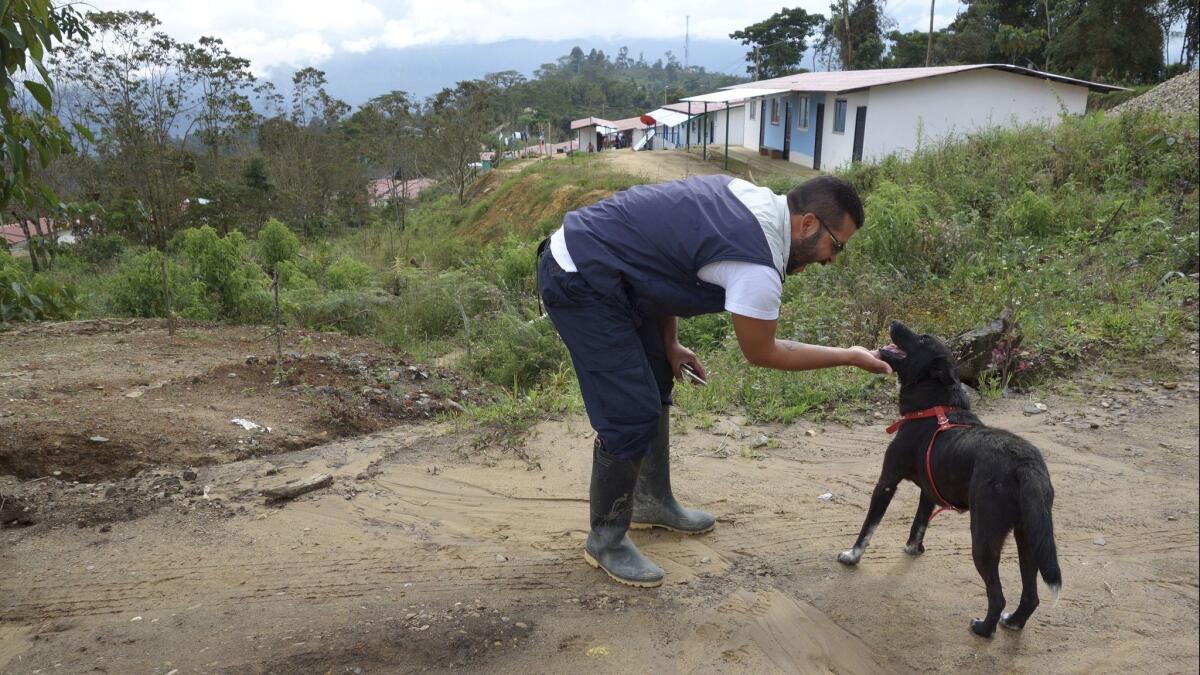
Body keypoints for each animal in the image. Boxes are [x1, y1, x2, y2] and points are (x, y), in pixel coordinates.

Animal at [840, 319, 1065, 634]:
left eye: (923, 338)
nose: (894, 322)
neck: (933, 407)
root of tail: (1026, 465)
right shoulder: (928, 491)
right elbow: (919, 524)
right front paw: (913, 549)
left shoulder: (886, 482)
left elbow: (868, 527)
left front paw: (852, 556)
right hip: (1029, 536)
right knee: (1031, 596)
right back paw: (1014, 622)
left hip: (984, 537)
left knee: (997, 596)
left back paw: (983, 628)